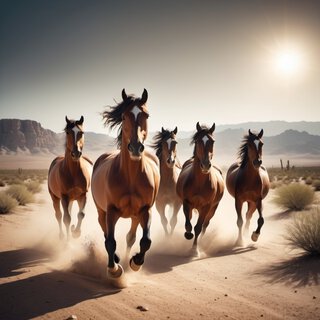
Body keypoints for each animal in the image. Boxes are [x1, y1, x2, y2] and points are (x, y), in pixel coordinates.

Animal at [90, 88, 160, 280]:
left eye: (147, 115)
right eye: (123, 116)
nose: (136, 147)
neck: (130, 178)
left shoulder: (145, 210)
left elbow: (146, 240)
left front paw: (135, 262)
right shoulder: (111, 211)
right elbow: (110, 241)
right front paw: (114, 269)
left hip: (135, 216)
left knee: (131, 237)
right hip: (101, 212)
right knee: (106, 233)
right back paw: (115, 259)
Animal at [175, 121, 225, 256]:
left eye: (212, 141)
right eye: (198, 141)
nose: (206, 165)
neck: (199, 183)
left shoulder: (206, 206)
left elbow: (198, 227)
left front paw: (194, 250)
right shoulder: (186, 203)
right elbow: (188, 224)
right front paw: (188, 234)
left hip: (213, 209)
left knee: (205, 226)